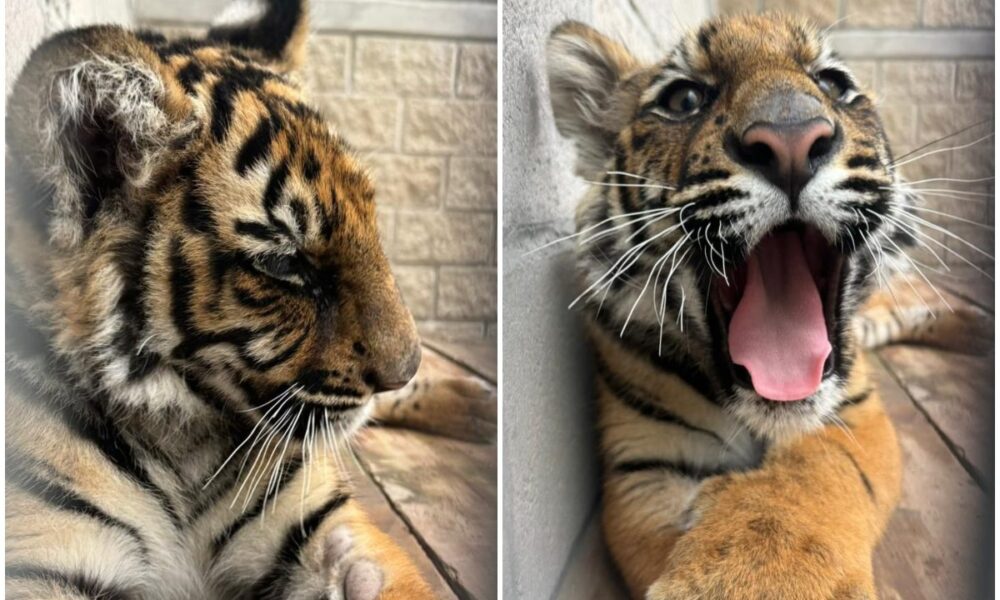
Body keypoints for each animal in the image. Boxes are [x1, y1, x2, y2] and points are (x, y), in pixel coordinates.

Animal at [5, 1, 494, 598]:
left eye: (371, 219)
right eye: (284, 264)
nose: (405, 369)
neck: (186, 438)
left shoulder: (320, 521)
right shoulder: (41, 554)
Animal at [545, 13, 990, 600]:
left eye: (833, 84)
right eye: (685, 98)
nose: (791, 140)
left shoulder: (854, 412)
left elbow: (807, 481)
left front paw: (766, 574)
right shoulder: (643, 461)